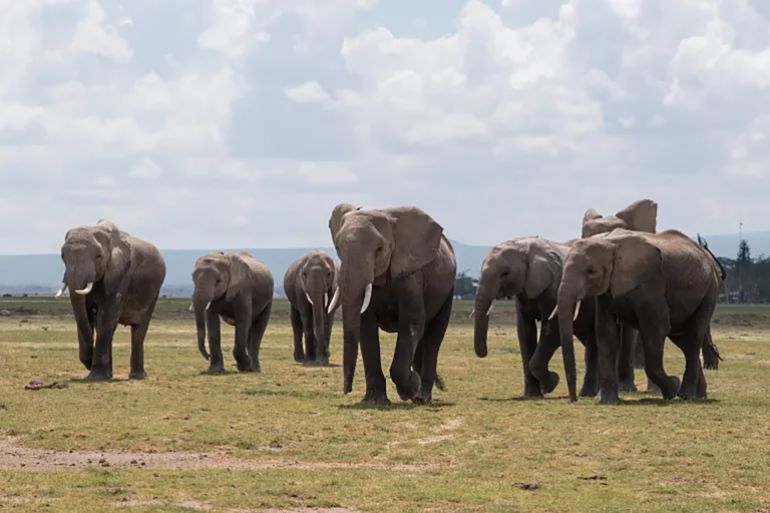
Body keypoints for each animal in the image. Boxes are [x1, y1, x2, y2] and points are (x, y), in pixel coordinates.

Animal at [57, 220, 166, 381]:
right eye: (63, 256)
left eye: (98, 256)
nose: (89, 362)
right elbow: (86, 315)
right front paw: (101, 373)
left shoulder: (121, 274)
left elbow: (107, 317)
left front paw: (97, 376)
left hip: (153, 293)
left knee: (139, 331)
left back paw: (137, 377)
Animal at [328, 204, 456, 405]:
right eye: (338, 248)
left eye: (379, 249)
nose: (346, 390)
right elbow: (366, 327)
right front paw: (374, 401)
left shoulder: (411, 276)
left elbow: (411, 321)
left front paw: (410, 388)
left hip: (448, 288)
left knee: (433, 337)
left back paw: (422, 397)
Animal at [473, 237, 599, 398]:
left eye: (505, 273)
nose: (485, 352)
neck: (525, 246)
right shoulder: (523, 290)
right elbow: (525, 331)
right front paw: (533, 395)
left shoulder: (553, 288)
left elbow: (552, 330)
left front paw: (551, 383)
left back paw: (588, 394)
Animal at [555, 229, 722, 403]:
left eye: (591, 271)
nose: (573, 399)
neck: (609, 243)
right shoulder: (606, 291)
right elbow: (605, 331)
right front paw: (605, 401)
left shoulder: (651, 285)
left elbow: (657, 329)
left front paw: (672, 388)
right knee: (683, 340)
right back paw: (699, 396)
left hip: (710, 291)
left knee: (694, 334)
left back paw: (686, 395)